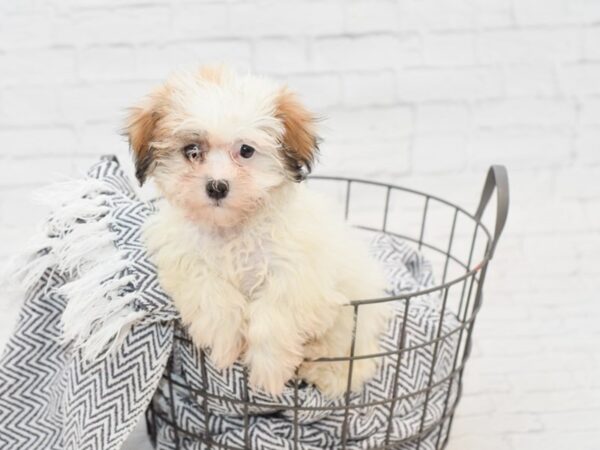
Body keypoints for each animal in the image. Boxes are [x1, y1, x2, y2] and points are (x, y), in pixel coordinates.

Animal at [125, 67, 390, 398]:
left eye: (246, 150)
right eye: (192, 151)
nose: (217, 186)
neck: (233, 227)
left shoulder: (298, 273)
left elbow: (274, 315)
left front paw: (269, 371)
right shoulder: (183, 256)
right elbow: (209, 290)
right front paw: (225, 341)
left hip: (354, 319)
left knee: (351, 356)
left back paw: (325, 371)